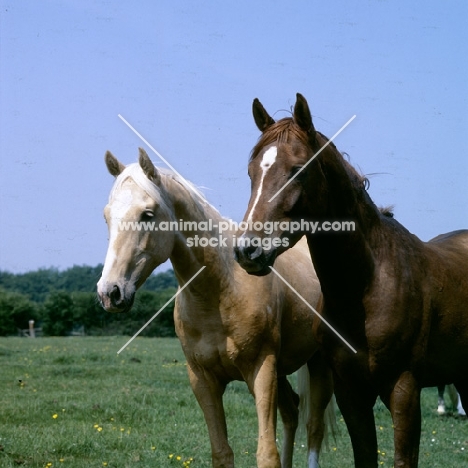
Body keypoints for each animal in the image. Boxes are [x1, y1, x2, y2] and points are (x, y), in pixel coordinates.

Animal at [97, 149, 334, 468]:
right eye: (107, 216)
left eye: (147, 214)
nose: (110, 292)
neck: (221, 290)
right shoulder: (203, 379)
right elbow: (221, 452)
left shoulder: (262, 370)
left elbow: (266, 454)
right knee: (291, 412)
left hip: (319, 364)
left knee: (314, 428)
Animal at [236, 94, 468, 468]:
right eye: (252, 171)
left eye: (298, 169)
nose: (247, 250)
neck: (367, 287)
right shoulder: (350, 392)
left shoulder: (404, 389)